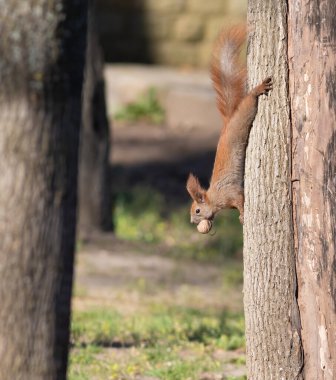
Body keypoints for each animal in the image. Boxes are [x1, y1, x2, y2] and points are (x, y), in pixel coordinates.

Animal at [186, 26, 272, 232]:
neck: (214, 198)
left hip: (243, 117)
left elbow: (240, 199)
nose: (192, 222)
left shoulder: (230, 193)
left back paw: (257, 90)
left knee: (249, 101)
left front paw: (242, 215)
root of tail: (227, 122)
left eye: (197, 210)